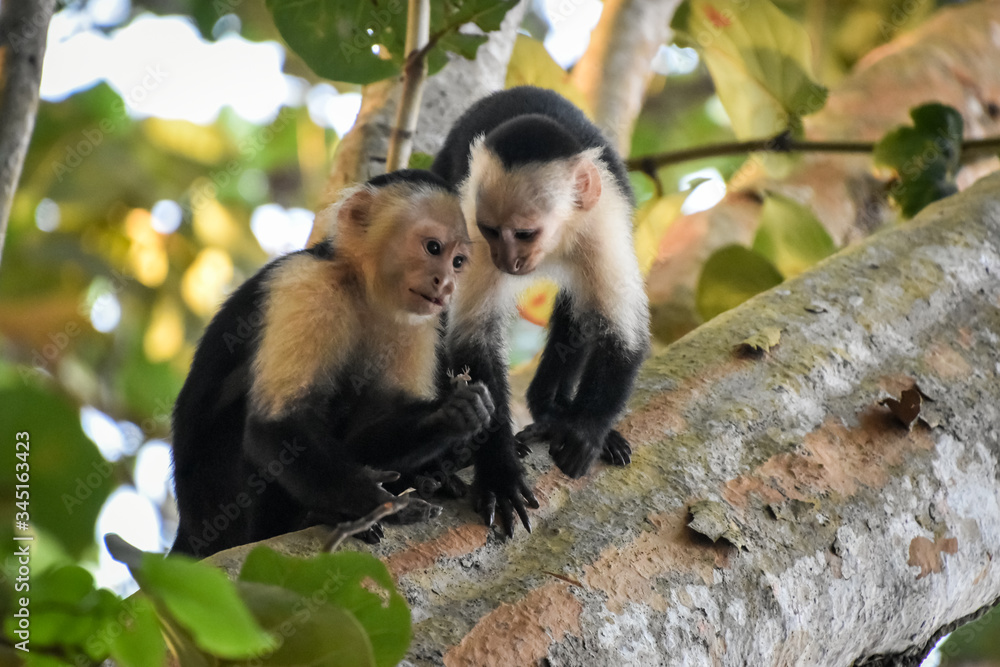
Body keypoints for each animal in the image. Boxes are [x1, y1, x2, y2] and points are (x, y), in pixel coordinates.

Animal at [170, 170, 494, 558]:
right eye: (433, 248)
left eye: (458, 262)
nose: (445, 284)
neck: (363, 288)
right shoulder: (307, 283)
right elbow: (276, 426)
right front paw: (377, 504)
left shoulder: (418, 323)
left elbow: (386, 414)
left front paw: (451, 413)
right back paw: (317, 516)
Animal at [431, 86, 650, 536]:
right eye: (491, 230)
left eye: (525, 233)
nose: (504, 259)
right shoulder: (468, 231)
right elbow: (472, 342)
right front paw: (498, 472)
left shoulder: (601, 225)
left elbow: (623, 333)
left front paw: (585, 430)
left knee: (580, 309)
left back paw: (552, 410)